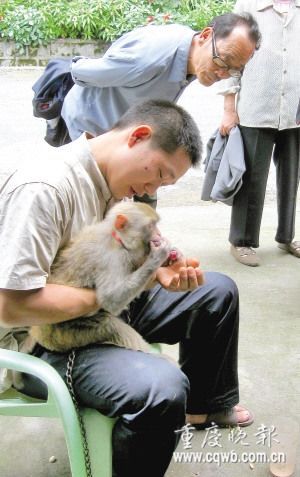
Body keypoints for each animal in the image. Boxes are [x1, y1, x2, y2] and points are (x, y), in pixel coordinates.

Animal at [30, 201, 171, 354]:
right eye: (151, 226)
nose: (159, 234)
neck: (116, 237)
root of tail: (38, 332)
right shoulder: (110, 258)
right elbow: (111, 298)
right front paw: (158, 256)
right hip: (67, 333)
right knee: (111, 326)